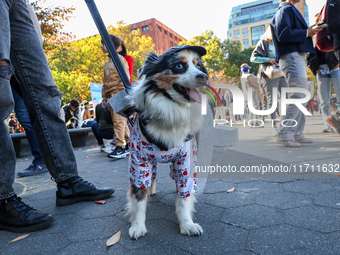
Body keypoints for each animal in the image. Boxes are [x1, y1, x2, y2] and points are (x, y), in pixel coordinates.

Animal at [126, 45, 209, 239]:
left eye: (199, 66)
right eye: (179, 66)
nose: (204, 77)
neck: (172, 111)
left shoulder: (185, 163)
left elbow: (184, 199)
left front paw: (187, 224)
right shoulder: (139, 162)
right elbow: (138, 199)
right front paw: (137, 226)